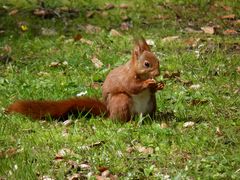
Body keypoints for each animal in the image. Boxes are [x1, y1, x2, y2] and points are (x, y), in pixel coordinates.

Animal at [6, 38, 163, 122]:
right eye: (147, 64)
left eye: (158, 61)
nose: (158, 73)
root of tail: (108, 113)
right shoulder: (126, 77)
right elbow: (132, 86)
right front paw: (147, 83)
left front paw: (159, 85)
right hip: (121, 101)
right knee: (120, 119)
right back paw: (127, 122)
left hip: (152, 104)